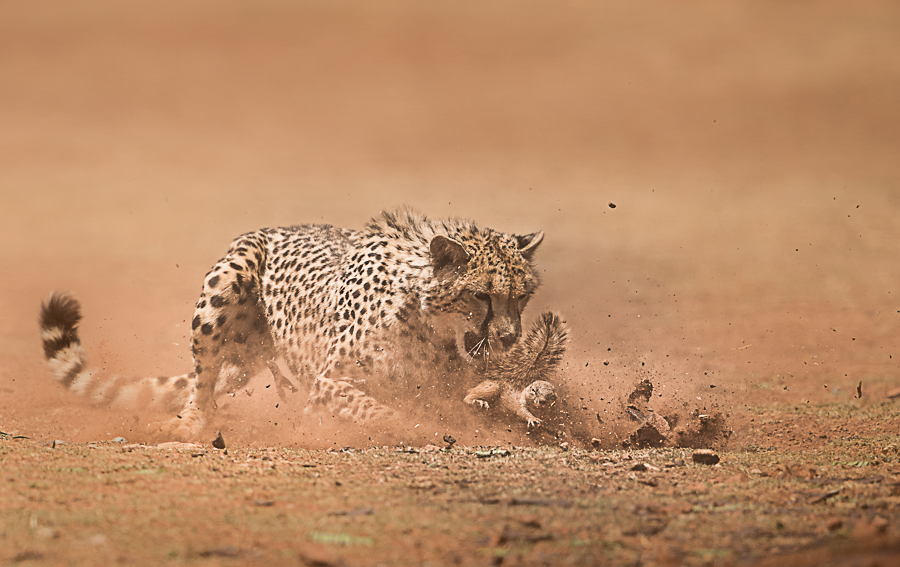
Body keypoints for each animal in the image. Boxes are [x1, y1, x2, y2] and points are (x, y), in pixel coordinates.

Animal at [39, 207, 548, 441]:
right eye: (480, 295)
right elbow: (383, 411)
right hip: (226, 284)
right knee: (201, 383)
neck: (426, 319)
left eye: (523, 295)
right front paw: (417, 429)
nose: (509, 337)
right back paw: (192, 424)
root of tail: (276, 225)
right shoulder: (329, 382)